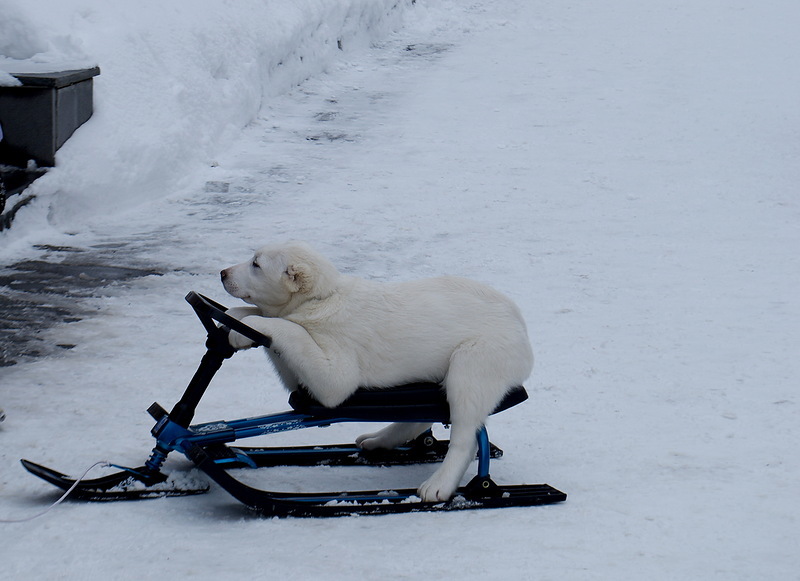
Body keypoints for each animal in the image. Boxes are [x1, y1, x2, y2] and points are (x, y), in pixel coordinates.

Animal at [220, 242, 532, 500]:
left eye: (256, 264)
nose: (222, 273)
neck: (321, 298)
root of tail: (522, 330)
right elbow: (270, 321)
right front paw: (234, 319)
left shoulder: (334, 376)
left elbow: (291, 330)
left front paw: (250, 326)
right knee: (420, 416)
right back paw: (378, 440)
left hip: (473, 362)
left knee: (465, 435)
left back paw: (439, 485)